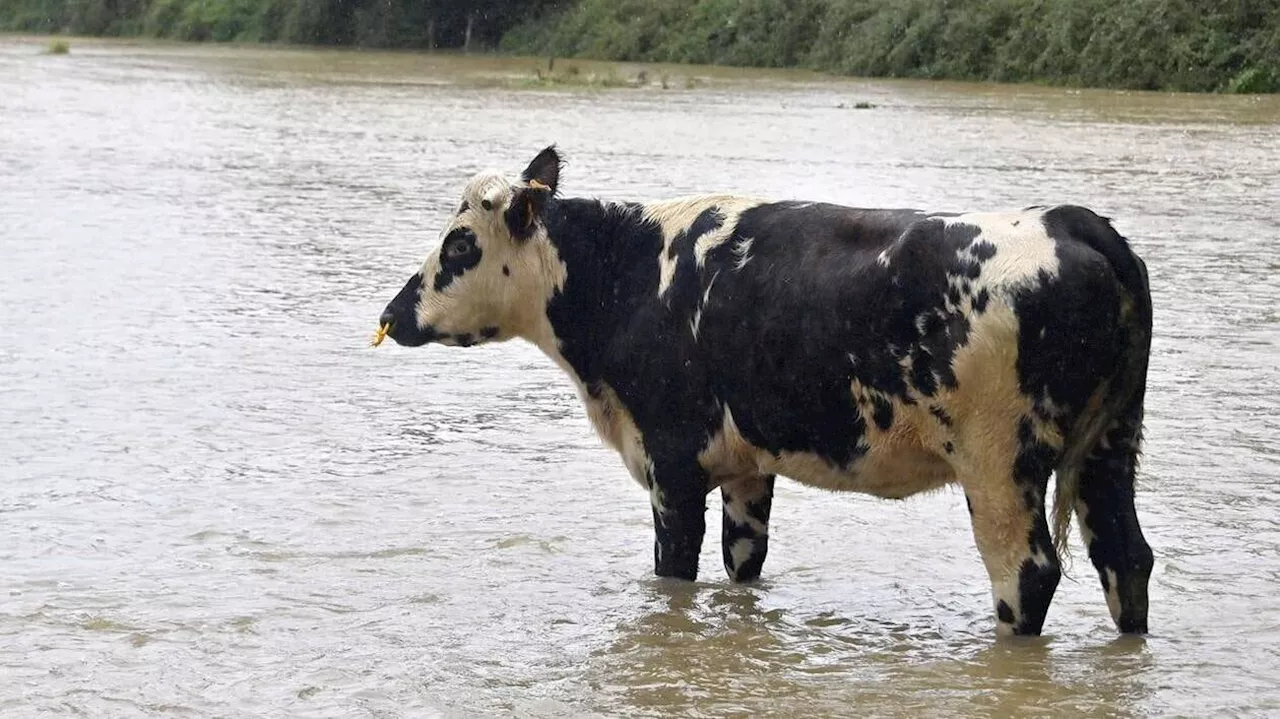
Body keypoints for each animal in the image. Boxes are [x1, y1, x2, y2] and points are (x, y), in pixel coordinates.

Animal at [373, 143, 1157, 632]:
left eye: (459, 245)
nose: (392, 314)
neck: (626, 277)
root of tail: (1071, 222)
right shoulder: (746, 467)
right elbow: (742, 561)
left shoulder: (672, 461)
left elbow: (672, 571)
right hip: (1109, 450)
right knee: (1127, 557)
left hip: (999, 464)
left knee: (1027, 573)